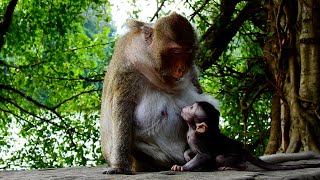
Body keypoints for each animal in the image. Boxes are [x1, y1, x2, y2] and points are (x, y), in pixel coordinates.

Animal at [100, 11, 218, 174]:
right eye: (176, 52)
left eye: (188, 52)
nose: (181, 68)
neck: (151, 61)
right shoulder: (127, 61)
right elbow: (122, 107)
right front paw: (119, 166)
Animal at [171, 101, 320, 172]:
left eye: (191, 108)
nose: (184, 107)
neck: (192, 129)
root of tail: (242, 149)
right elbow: (190, 152)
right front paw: (188, 157)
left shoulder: (197, 138)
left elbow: (204, 155)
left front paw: (183, 167)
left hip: (235, 155)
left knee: (221, 158)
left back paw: (236, 167)